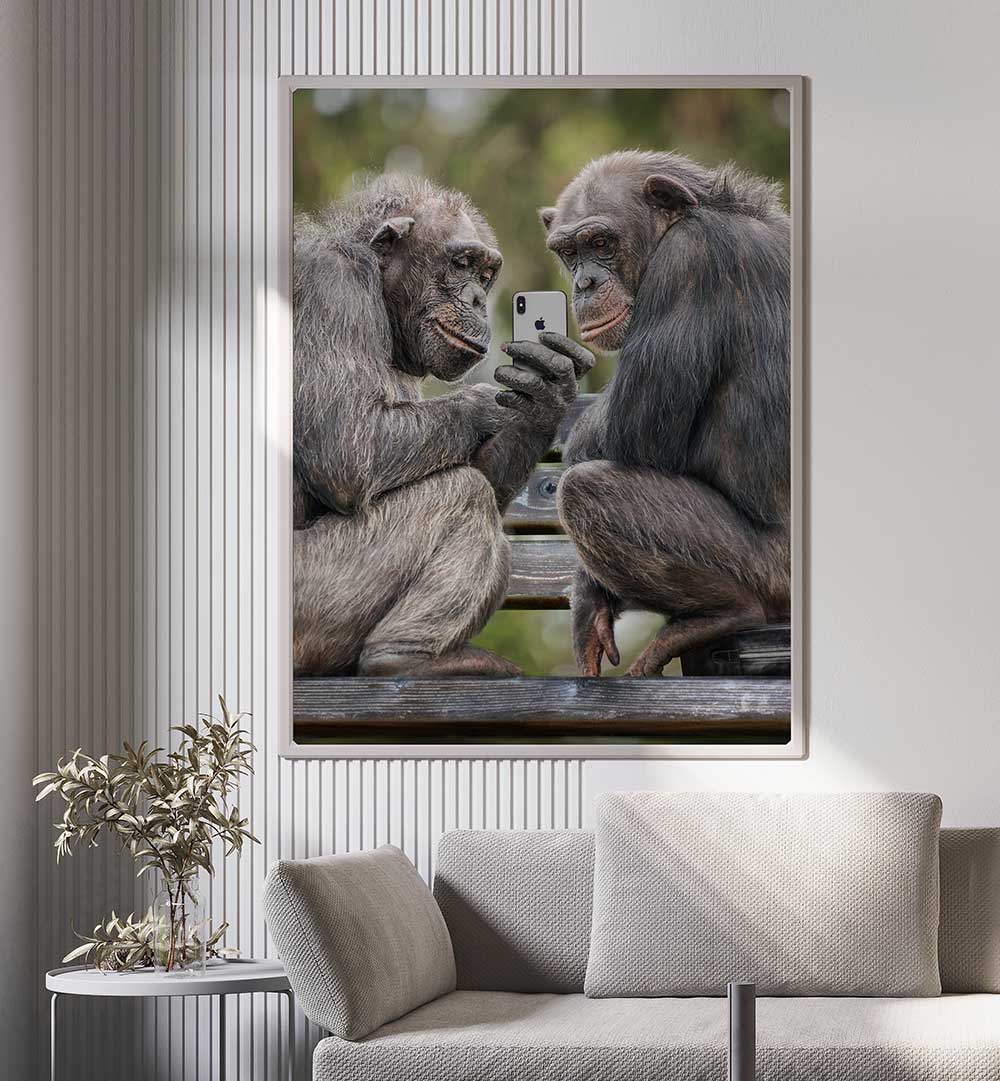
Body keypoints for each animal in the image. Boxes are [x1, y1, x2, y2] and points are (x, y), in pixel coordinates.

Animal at [293, 173, 591, 679]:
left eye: (485, 275)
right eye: (462, 264)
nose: (476, 297)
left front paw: (544, 398)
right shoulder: (329, 284)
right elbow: (348, 447)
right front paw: (486, 404)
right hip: (312, 595)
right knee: (460, 493)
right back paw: (407, 657)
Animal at [539, 150, 790, 677]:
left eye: (600, 243)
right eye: (569, 253)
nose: (585, 282)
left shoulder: (689, 262)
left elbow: (632, 432)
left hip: (770, 572)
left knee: (585, 490)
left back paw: (723, 613)